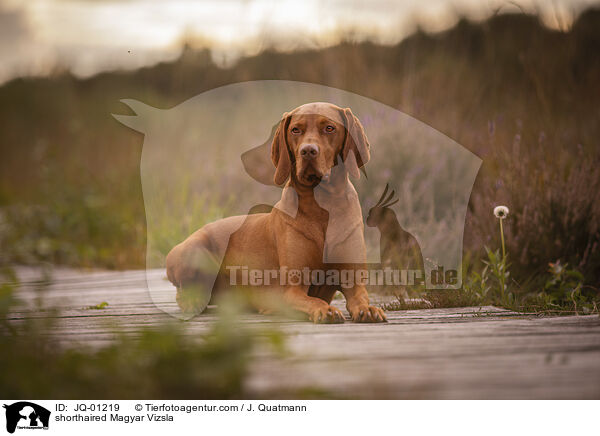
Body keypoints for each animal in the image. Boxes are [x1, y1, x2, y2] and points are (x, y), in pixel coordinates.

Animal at [166, 100, 386, 322]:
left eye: (329, 128)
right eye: (295, 130)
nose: (308, 151)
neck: (323, 204)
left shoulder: (354, 281)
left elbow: (360, 297)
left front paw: (369, 309)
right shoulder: (293, 289)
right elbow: (314, 301)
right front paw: (326, 310)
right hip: (194, 250)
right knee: (185, 291)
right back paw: (193, 302)